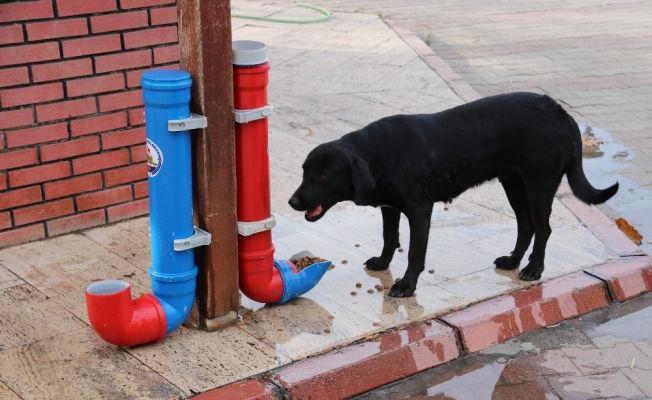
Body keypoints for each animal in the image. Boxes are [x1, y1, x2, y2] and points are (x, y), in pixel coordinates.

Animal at [288, 93, 620, 296]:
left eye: (323, 176)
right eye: (304, 171)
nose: (292, 202)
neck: (379, 154)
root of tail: (560, 111)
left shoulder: (420, 210)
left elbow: (414, 252)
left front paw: (406, 286)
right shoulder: (389, 207)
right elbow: (389, 238)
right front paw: (383, 263)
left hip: (539, 184)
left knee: (542, 228)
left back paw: (533, 269)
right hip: (513, 183)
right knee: (525, 225)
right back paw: (513, 261)